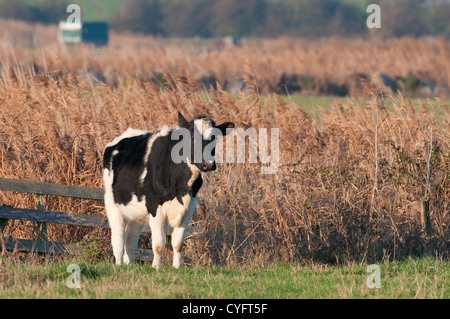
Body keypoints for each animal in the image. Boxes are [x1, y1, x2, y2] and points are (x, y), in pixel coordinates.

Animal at [103, 112, 234, 270]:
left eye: (215, 138)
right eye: (192, 138)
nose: (208, 165)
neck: (180, 188)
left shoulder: (189, 208)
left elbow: (178, 244)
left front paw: (177, 267)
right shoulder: (154, 207)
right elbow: (159, 244)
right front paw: (156, 267)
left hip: (136, 211)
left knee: (130, 239)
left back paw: (129, 264)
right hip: (112, 203)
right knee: (118, 237)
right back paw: (119, 264)